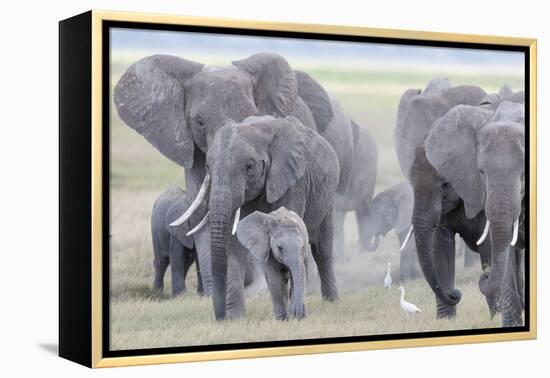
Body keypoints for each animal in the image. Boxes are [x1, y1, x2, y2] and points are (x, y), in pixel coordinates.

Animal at [114, 52, 354, 318]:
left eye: (250, 166)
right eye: (199, 122)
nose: (219, 318)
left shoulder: (292, 178)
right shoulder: (195, 156)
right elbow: (209, 222)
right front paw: (232, 313)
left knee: (322, 247)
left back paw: (328, 299)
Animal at [414, 100, 528, 324]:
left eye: (444, 185)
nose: (455, 293)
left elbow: (488, 247)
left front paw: (495, 316)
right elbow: (440, 245)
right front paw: (445, 322)